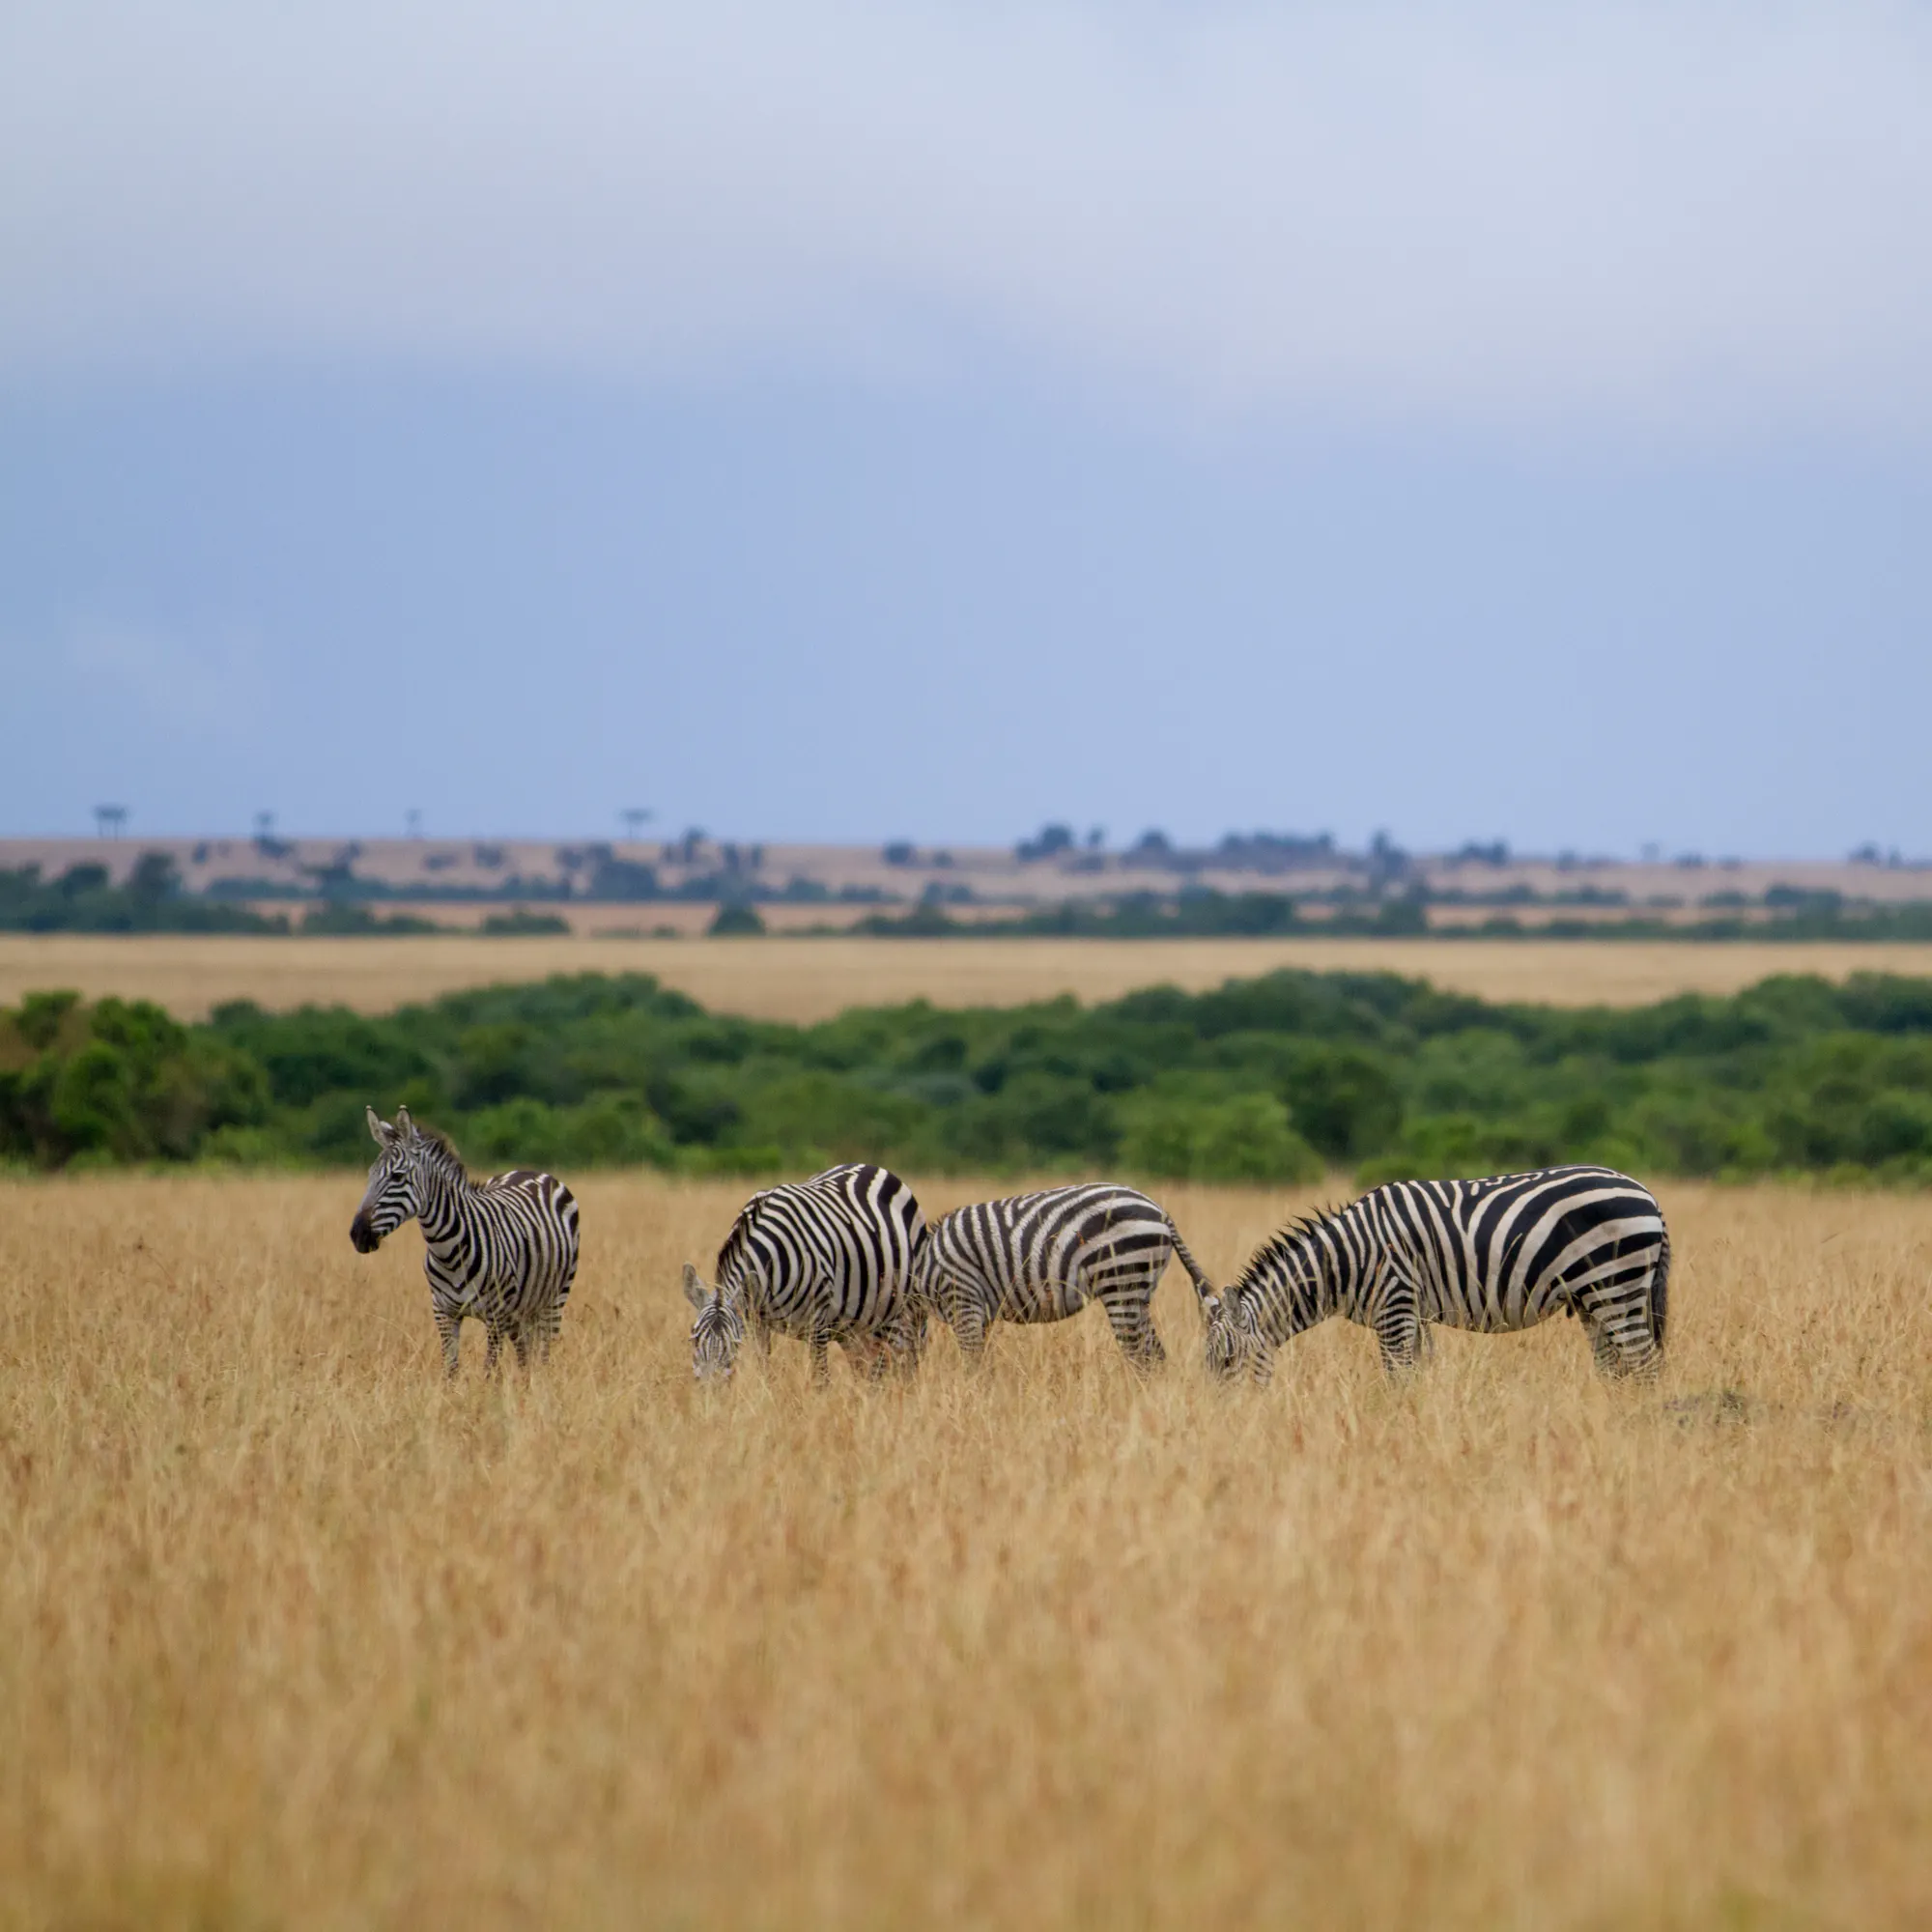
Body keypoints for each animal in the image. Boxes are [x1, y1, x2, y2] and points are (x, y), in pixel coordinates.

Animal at [349, 1105, 580, 1377]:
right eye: (370, 1175)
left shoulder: (496, 1315)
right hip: (521, 1309)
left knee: (544, 1353)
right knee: (525, 1355)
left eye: (397, 1176)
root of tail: (532, 1171)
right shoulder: (444, 1312)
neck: (448, 1251)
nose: (357, 1235)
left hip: (555, 1298)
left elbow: (490, 1371)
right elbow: (450, 1369)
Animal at [682, 1162, 928, 1382]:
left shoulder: (817, 1322)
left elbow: (821, 1379)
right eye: (694, 1339)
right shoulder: (756, 1323)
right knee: (869, 1369)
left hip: (906, 1310)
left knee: (905, 1362)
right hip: (855, 1325)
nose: (710, 1390)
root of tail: (872, 1167)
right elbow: (764, 1371)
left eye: (735, 1343)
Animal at [913, 1182, 1215, 1372]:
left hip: (1122, 1282)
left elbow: (972, 1363)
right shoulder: (978, 1312)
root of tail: (1162, 1213)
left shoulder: (963, 1300)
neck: (923, 1267)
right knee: (1154, 1354)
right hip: (1140, 1290)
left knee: (1140, 1354)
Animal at [1200, 1165, 1669, 1384]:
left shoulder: (1394, 1308)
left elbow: (1398, 1380)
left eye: (1227, 1361)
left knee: (1644, 1364)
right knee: (1615, 1367)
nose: (1222, 1424)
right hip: (1593, 1298)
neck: (1347, 1261)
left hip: (1618, 1283)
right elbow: (1419, 1375)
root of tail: (1647, 1194)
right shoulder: (1415, 1315)